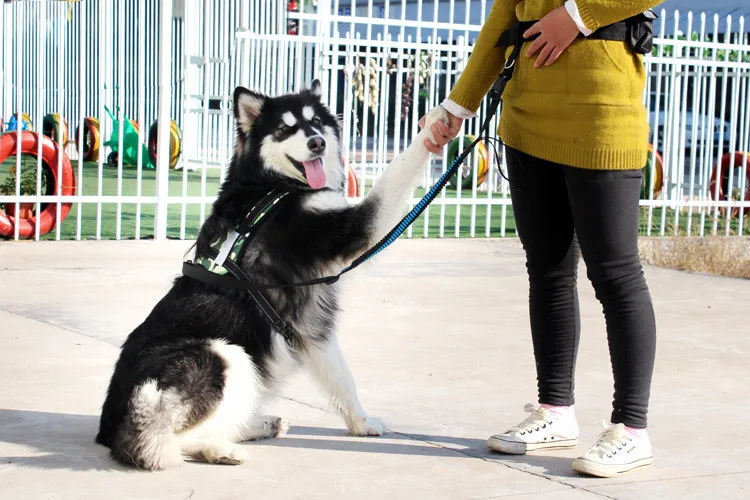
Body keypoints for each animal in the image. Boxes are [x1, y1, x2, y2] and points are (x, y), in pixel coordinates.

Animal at [93, 80, 446, 470]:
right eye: (284, 129)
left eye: (315, 122)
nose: (317, 143)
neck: (272, 187)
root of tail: (109, 430)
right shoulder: (349, 232)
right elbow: (397, 169)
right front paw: (437, 123)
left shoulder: (310, 326)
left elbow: (341, 377)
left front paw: (361, 422)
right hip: (223, 353)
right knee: (164, 440)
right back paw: (220, 448)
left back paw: (256, 425)